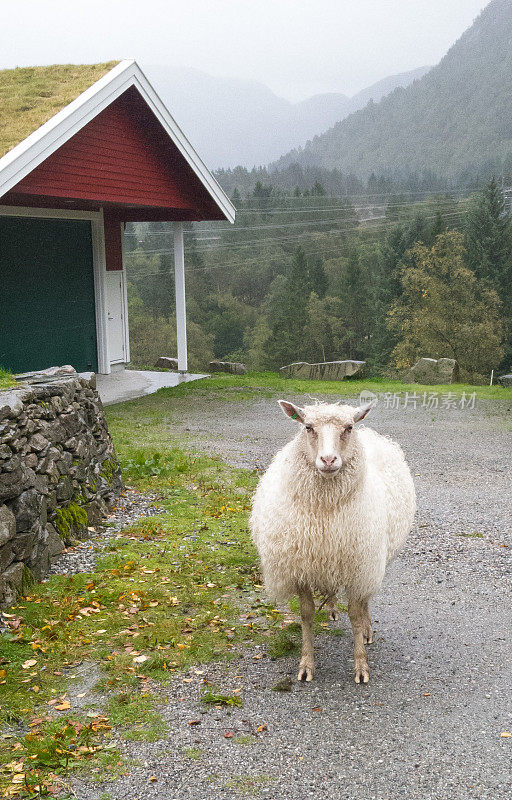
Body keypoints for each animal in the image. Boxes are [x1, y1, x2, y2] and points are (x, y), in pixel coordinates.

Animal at [251, 400, 416, 680]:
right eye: (307, 427)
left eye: (348, 427)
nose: (328, 460)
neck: (325, 512)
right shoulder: (302, 567)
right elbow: (306, 615)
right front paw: (306, 664)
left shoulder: (357, 566)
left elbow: (356, 615)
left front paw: (361, 664)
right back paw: (331, 607)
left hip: (369, 561)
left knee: (365, 600)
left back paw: (367, 630)